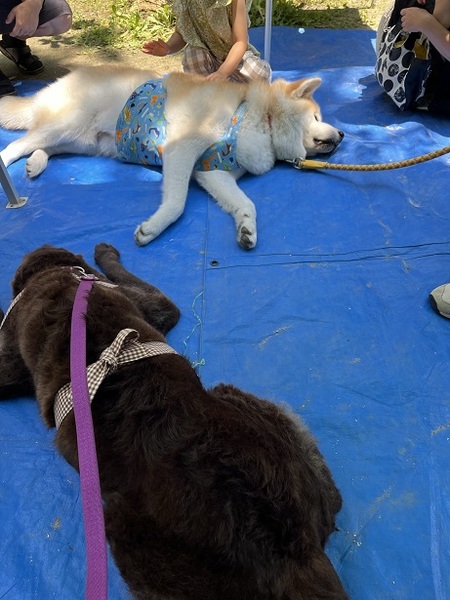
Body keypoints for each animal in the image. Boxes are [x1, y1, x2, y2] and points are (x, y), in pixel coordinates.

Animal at [0, 66, 344, 250]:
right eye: (316, 116)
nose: (342, 135)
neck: (259, 119)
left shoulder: (212, 173)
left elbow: (246, 204)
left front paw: (246, 228)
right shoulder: (182, 149)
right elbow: (177, 203)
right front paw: (152, 229)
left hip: (83, 142)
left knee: (44, 147)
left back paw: (36, 163)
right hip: (67, 125)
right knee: (16, 144)